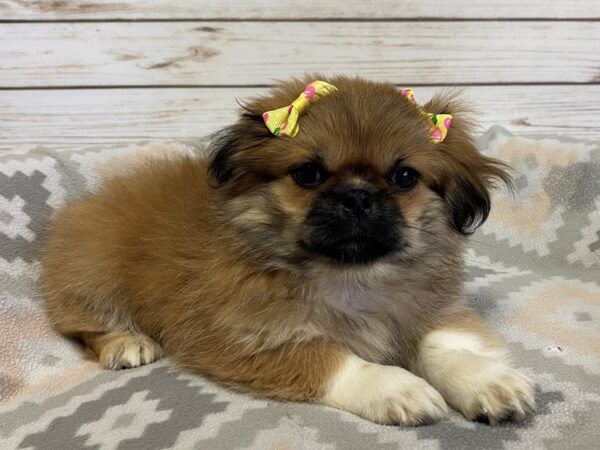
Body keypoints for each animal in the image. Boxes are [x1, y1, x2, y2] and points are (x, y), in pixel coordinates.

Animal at [44, 76, 536, 426]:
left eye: (404, 177)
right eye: (308, 173)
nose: (357, 196)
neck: (349, 274)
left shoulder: (427, 308)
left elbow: (443, 346)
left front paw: (485, 381)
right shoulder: (242, 339)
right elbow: (330, 358)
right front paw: (395, 387)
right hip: (91, 273)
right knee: (84, 325)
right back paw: (127, 342)